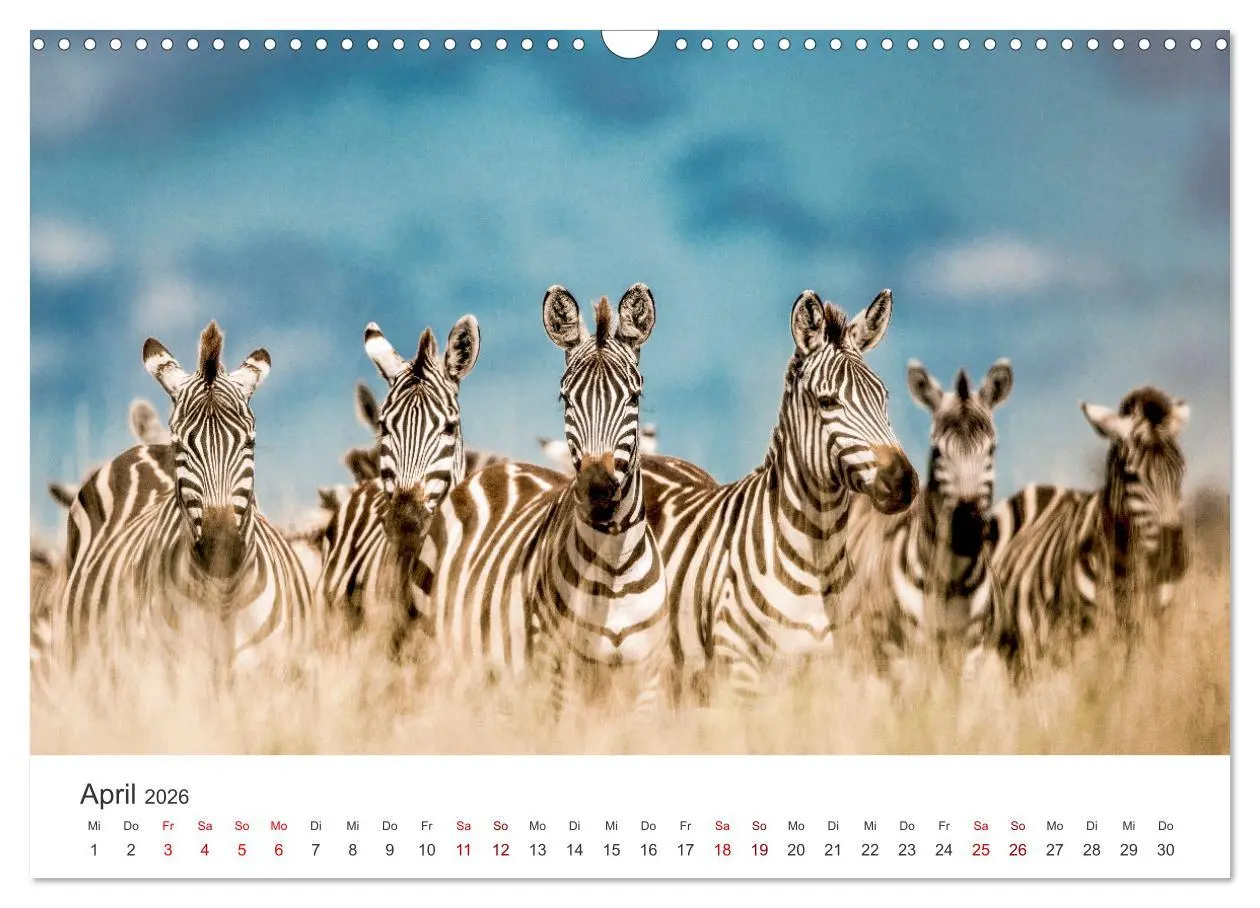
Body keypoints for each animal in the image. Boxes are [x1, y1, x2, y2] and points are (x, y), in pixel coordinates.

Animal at [415, 284, 670, 715]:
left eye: (634, 397)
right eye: (566, 399)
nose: (597, 490)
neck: (614, 568)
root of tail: (501, 469)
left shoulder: (648, 683)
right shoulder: (559, 678)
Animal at [641, 288, 919, 701]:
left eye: (883, 398)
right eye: (827, 402)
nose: (902, 481)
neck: (818, 556)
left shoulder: (838, 671)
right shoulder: (742, 672)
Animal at [836, 359, 1013, 676]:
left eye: (991, 449)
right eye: (937, 450)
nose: (967, 528)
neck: (951, 582)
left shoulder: (972, 654)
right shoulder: (903, 657)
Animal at [988, 385, 1190, 675]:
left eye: (1180, 470)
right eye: (1131, 474)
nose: (1171, 558)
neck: (1123, 572)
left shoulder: (1150, 631)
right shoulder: (1079, 639)